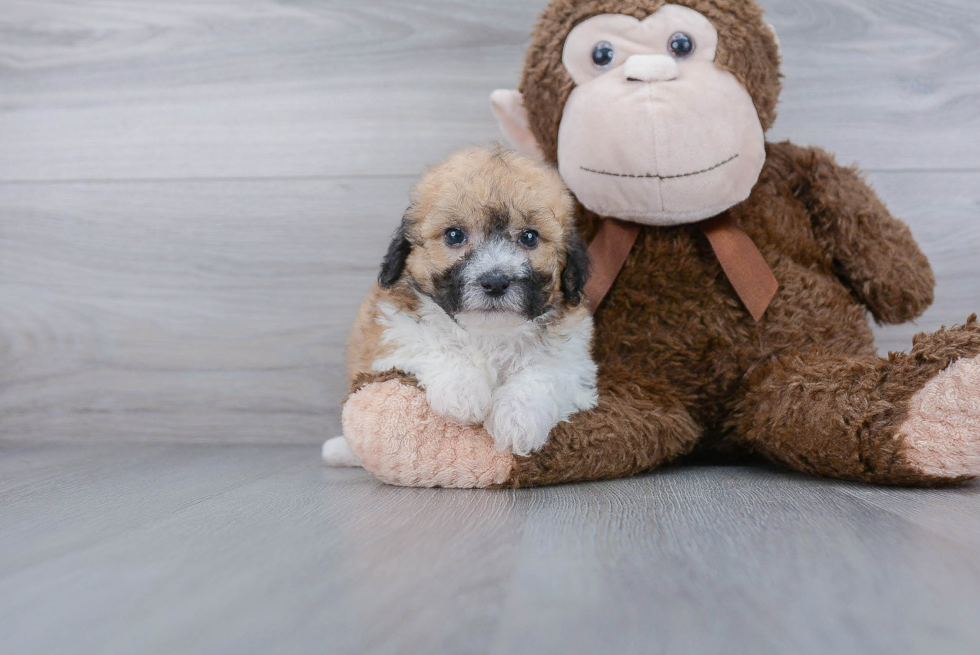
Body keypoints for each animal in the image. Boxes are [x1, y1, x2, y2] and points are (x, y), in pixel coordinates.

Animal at [324, 146, 596, 468]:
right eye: (454, 235)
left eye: (529, 237)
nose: (495, 282)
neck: (487, 334)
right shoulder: (392, 332)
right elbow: (429, 344)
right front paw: (463, 391)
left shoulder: (573, 359)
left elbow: (545, 373)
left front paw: (518, 417)